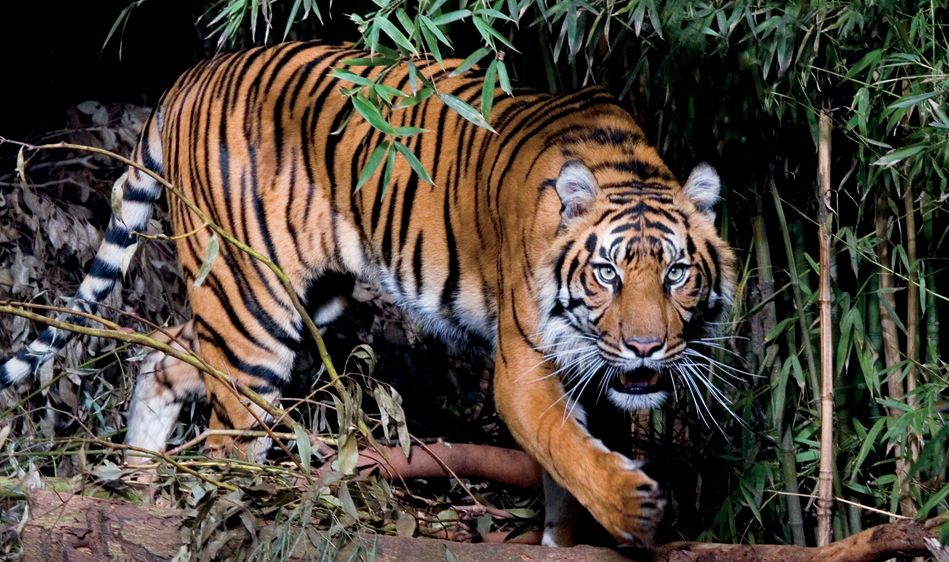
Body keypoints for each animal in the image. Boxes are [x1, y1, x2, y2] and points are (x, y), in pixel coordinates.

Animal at [0, 41, 736, 544]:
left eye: (676, 273)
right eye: (606, 273)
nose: (645, 348)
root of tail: (191, 75)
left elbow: (571, 466)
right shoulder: (525, 367)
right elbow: (564, 445)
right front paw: (634, 507)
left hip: (293, 298)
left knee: (161, 356)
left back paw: (142, 491)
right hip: (251, 309)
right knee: (228, 441)